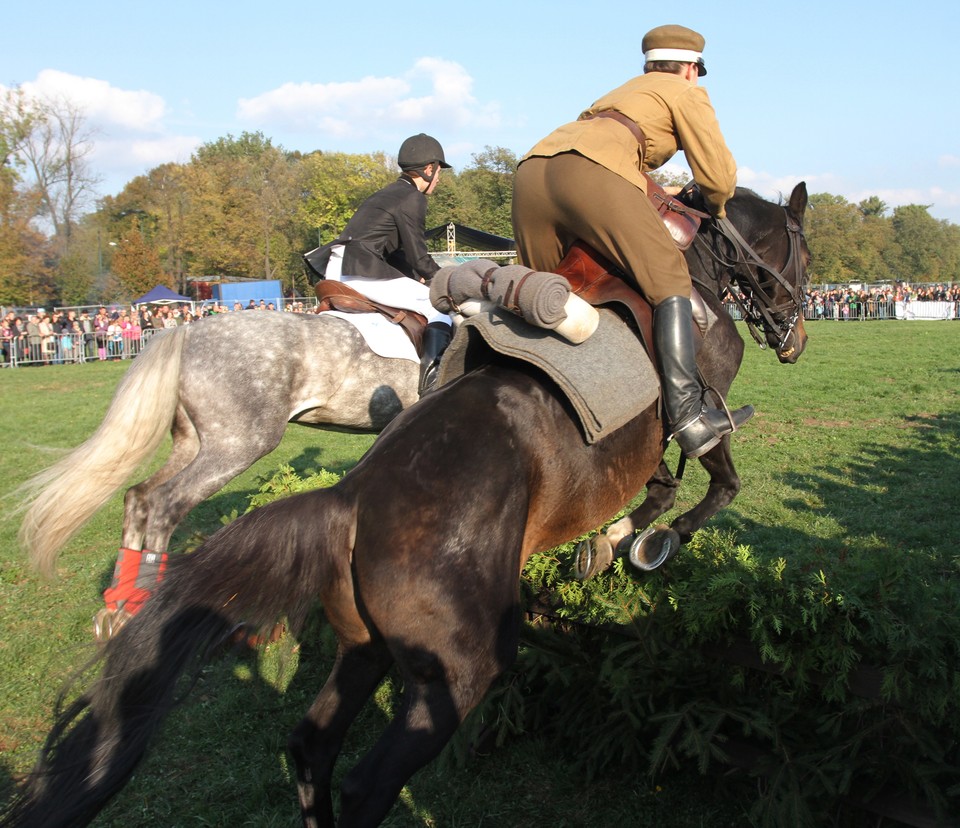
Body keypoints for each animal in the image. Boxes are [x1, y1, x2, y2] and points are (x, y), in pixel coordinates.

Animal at [1, 183, 808, 828]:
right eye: (800, 251)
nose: (795, 338)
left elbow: (668, 487)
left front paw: (611, 541)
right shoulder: (699, 408)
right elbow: (709, 483)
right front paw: (635, 542)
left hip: (241, 487)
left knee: (149, 509)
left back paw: (126, 607)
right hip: (255, 456)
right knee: (165, 508)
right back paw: (129, 610)